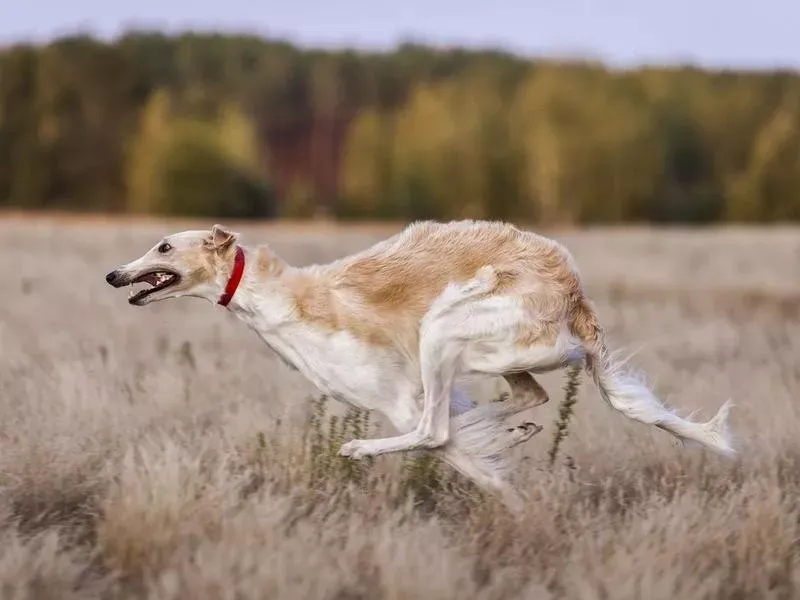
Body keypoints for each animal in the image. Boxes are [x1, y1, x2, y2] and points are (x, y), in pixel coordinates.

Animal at [106, 220, 736, 510]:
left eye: (164, 247)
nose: (113, 275)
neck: (283, 300)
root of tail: (577, 302)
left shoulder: (397, 397)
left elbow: (448, 444)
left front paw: (519, 510)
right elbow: (467, 436)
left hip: (447, 327)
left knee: (438, 429)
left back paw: (360, 448)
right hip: (488, 350)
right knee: (525, 398)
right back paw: (516, 429)